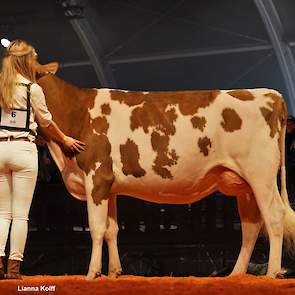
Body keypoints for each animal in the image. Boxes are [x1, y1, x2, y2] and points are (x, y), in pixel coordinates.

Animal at [36, 64, 295, 280]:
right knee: (252, 226)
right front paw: (114, 272)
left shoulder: (97, 178)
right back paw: (236, 275)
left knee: (274, 216)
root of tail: (272, 95)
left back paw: (272, 273)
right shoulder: (110, 187)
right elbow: (112, 230)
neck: (78, 111)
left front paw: (92, 274)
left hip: (260, 175)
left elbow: (97, 228)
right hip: (244, 185)